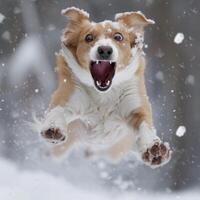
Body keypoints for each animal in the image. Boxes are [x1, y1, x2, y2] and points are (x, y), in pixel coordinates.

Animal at [39, 6, 172, 167]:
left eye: (118, 37)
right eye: (88, 37)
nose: (104, 49)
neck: (103, 95)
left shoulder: (135, 104)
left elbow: (144, 124)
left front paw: (153, 148)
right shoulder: (69, 94)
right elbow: (58, 109)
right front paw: (53, 127)